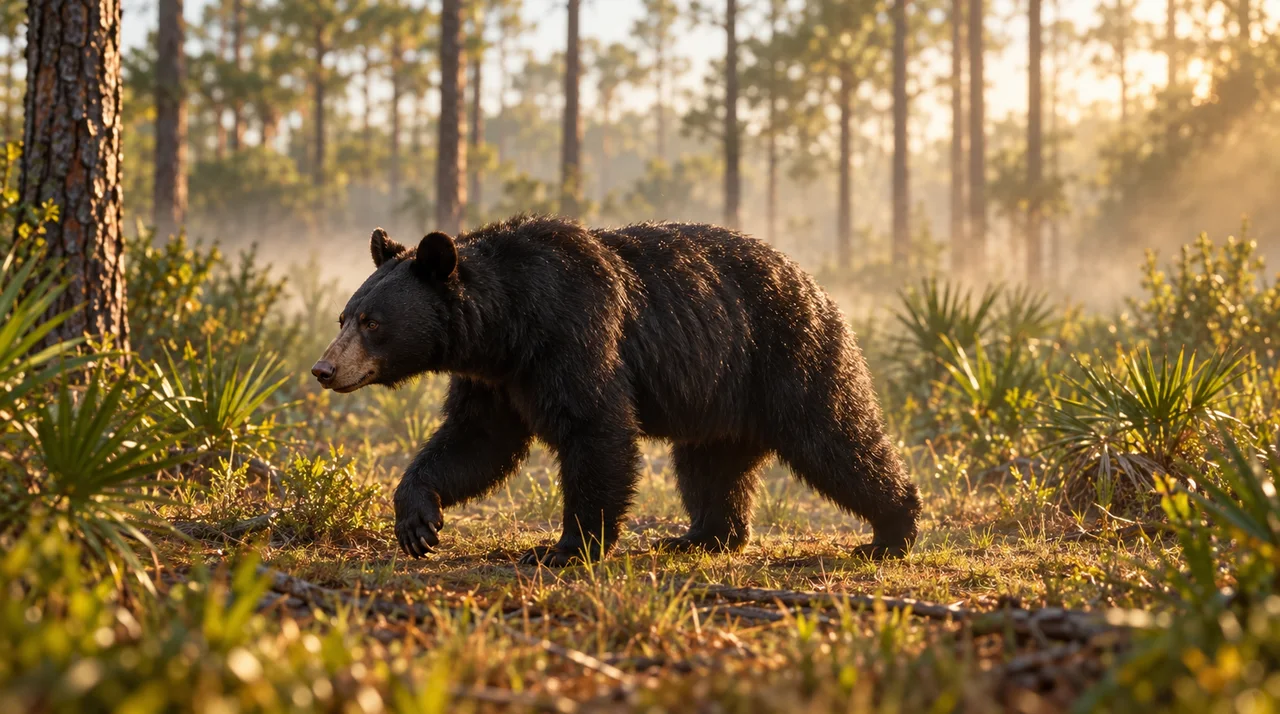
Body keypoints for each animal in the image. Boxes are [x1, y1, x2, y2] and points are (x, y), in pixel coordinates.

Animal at [311, 215, 922, 566]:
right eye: (344, 316)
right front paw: (418, 520)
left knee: (835, 437)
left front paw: (562, 548)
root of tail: (817, 286)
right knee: (710, 466)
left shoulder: (575, 332)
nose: (323, 368)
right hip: (721, 391)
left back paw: (892, 530)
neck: (510, 324)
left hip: (790, 354)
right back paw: (700, 536)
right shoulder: (498, 379)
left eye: (371, 321)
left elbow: (595, 430)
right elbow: (475, 441)